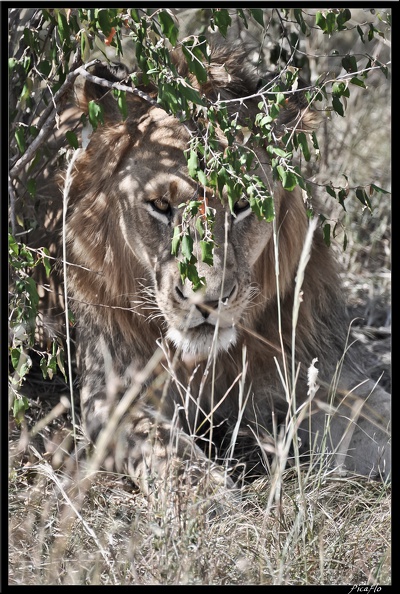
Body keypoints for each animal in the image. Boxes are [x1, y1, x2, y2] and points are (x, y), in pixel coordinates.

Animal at [65, 46, 390, 494]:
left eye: (242, 204)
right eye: (161, 206)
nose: (206, 301)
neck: (210, 361)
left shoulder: (324, 371)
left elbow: (377, 416)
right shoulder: (114, 395)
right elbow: (172, 454)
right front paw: (208, 499)